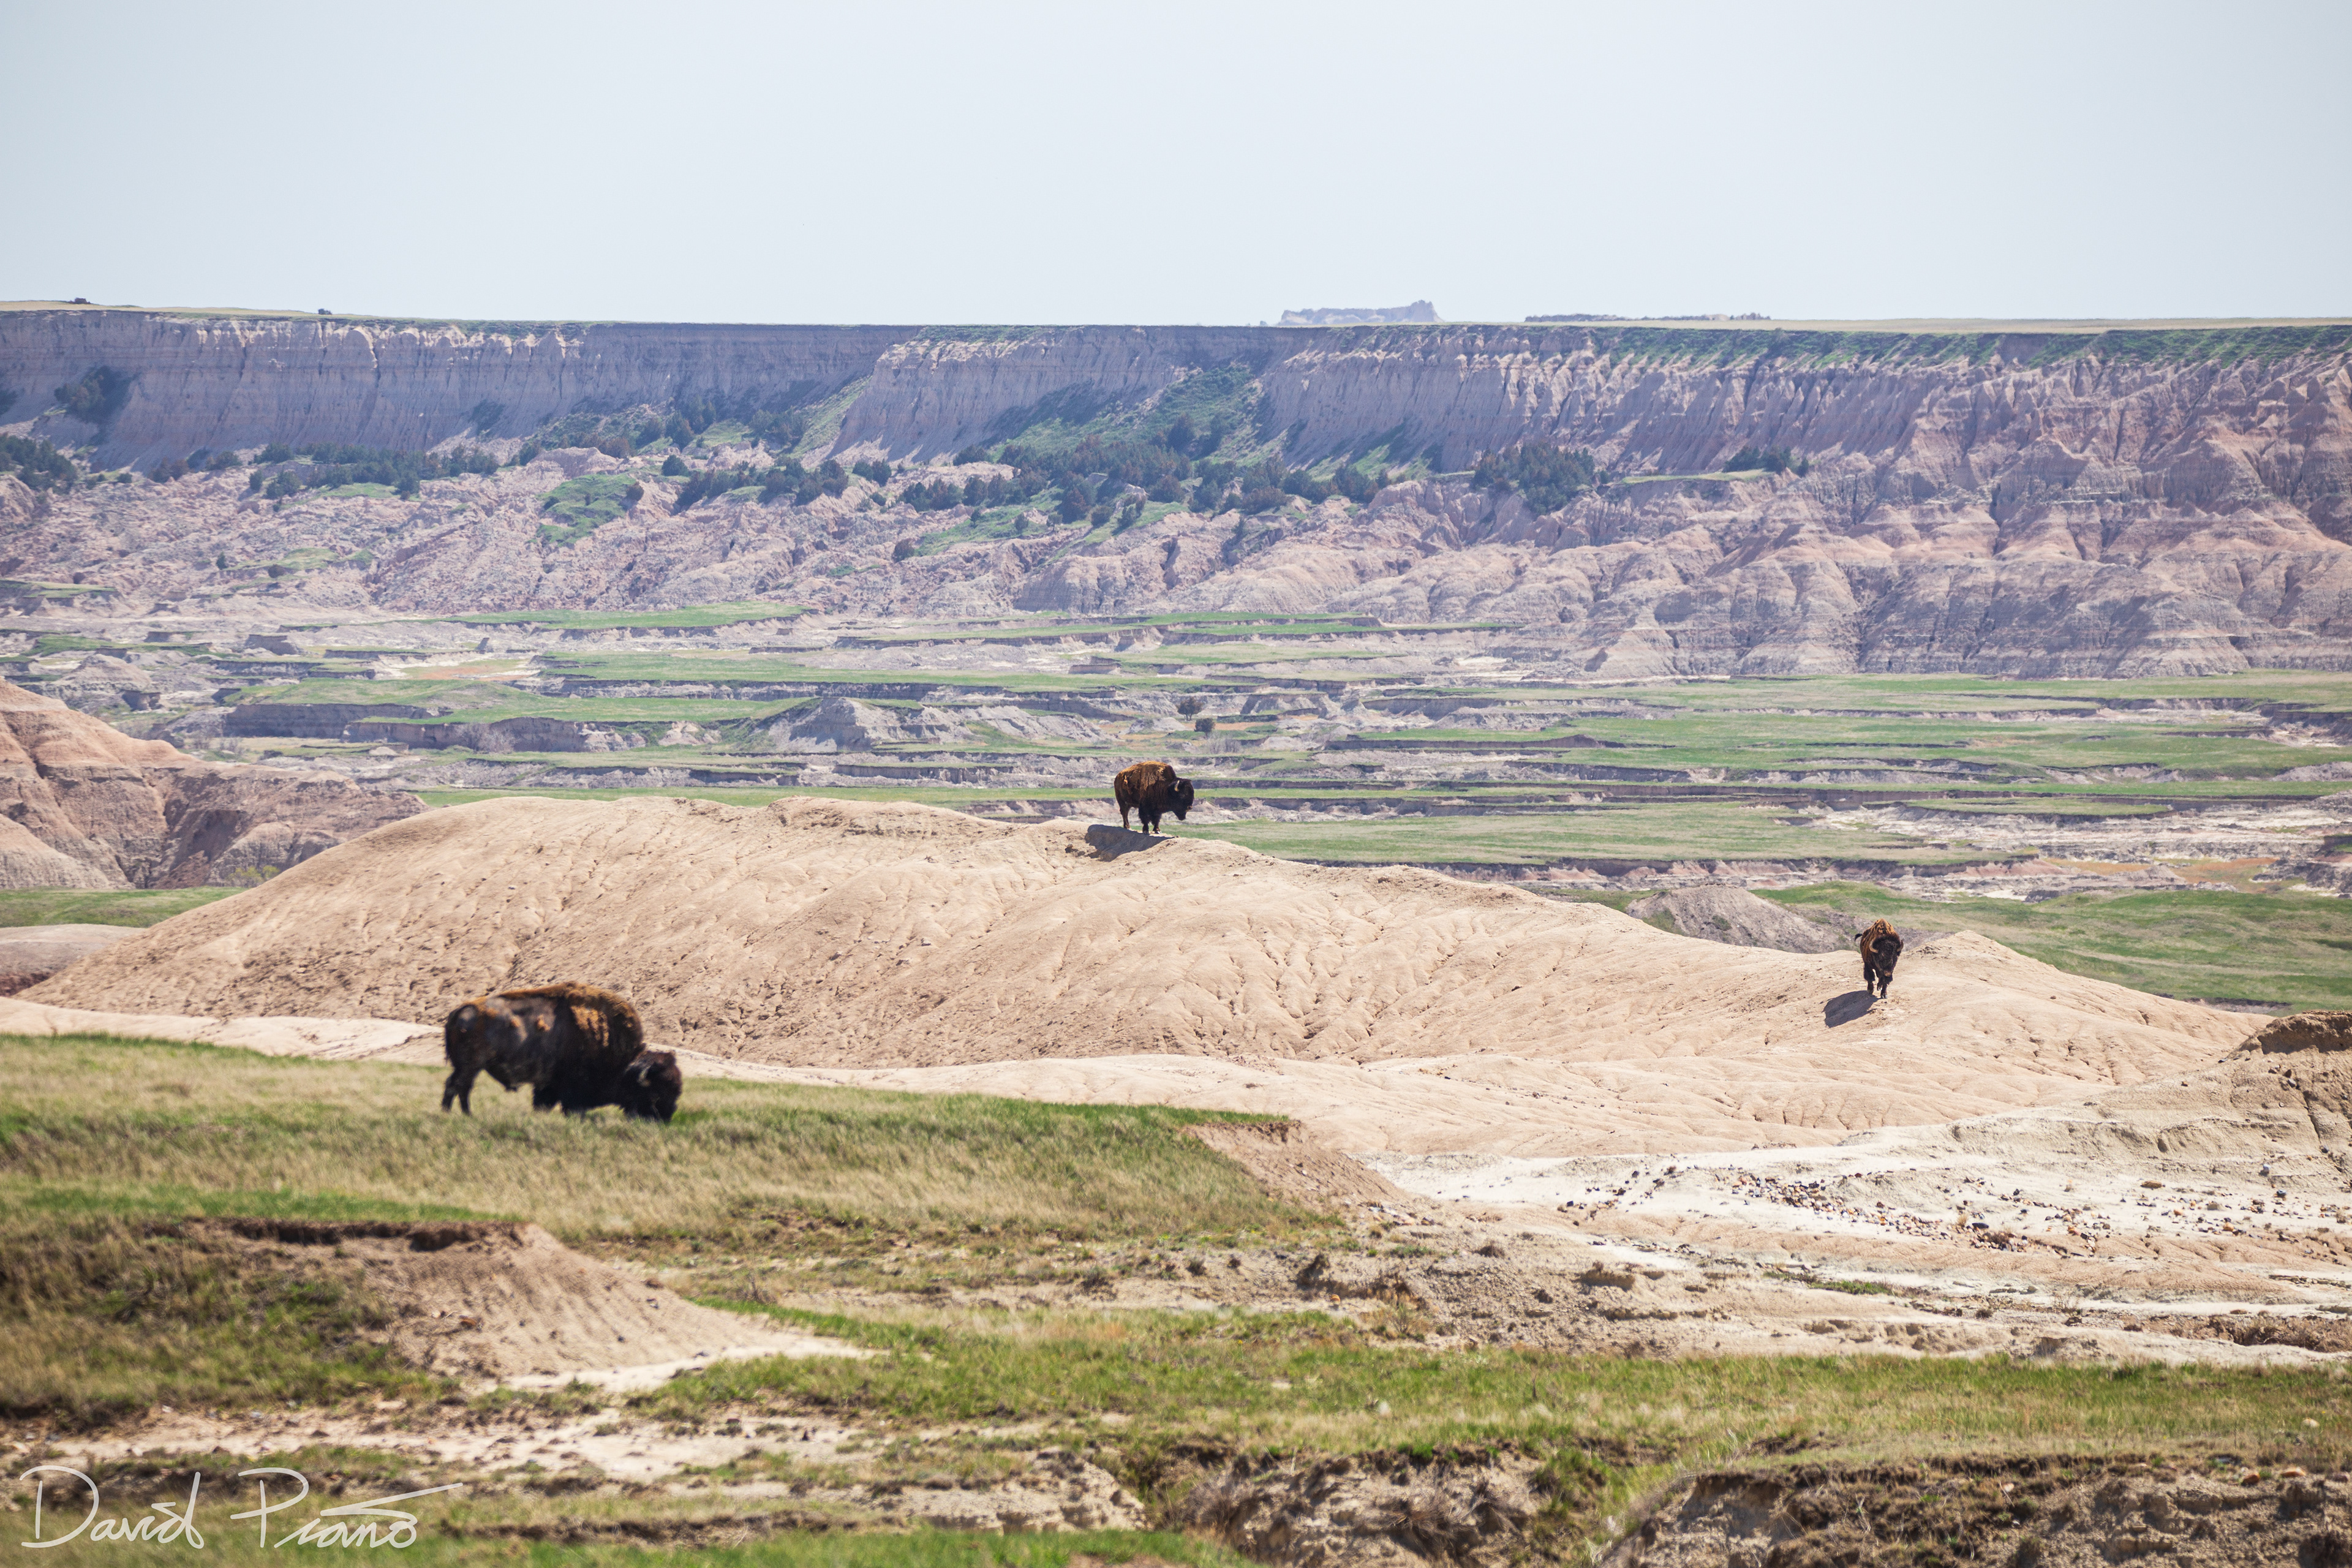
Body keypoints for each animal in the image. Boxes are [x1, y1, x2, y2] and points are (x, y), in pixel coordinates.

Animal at [442, 982, 677, 1120]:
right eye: (657, 1092)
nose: (666, 1118)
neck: (625, 1063)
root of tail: (459, 1011)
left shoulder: (549, 1086)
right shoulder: (569, 1088)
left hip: (470, 1067)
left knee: (460, 1087)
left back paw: (462, 1115)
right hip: (470, 1066)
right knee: (458, 1086)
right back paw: (460, 1115)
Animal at [1114, 759, 1195, 835]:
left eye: (1192, 794)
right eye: (1182, 795)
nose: (1190, 807)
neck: (1166, 788)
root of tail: (1118, 777)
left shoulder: (1157, 809)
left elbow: (1157, 819)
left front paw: (1158, 830)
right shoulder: (1144, 807)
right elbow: (1145, 818)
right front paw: (1146, 831)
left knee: (1126, 813)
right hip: (1122, 802)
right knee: (1125, 813)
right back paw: (1128, 827)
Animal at [1858, 919, 1902, 999]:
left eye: (1895, 957)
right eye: (1881, 956)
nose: (1888, 972)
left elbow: (1885, 981)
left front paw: (1884, 995)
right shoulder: (1868, 965)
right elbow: (1870, 977)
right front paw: (1870, 990)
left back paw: (1879, 986)